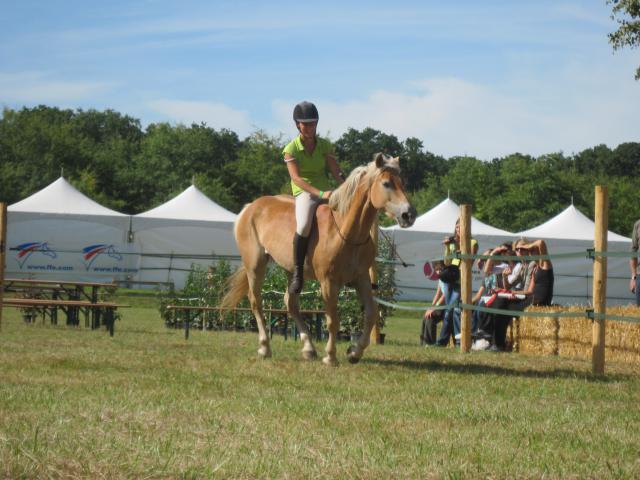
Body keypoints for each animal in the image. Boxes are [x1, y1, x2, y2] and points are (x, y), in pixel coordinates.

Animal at [220, 152, 418, 366]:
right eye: (386, 183)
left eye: (403, 182)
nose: (409, 215)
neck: (347, 231)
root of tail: (251, 207)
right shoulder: (328, 282)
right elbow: (333, 321)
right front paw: (330, 357)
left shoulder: (362, 279)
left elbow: (371, 314)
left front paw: (354, 352)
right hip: (255, 266)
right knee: (256, 302)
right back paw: (265, 347)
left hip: (292, 272)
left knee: (291, 303)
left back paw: (308, 348)